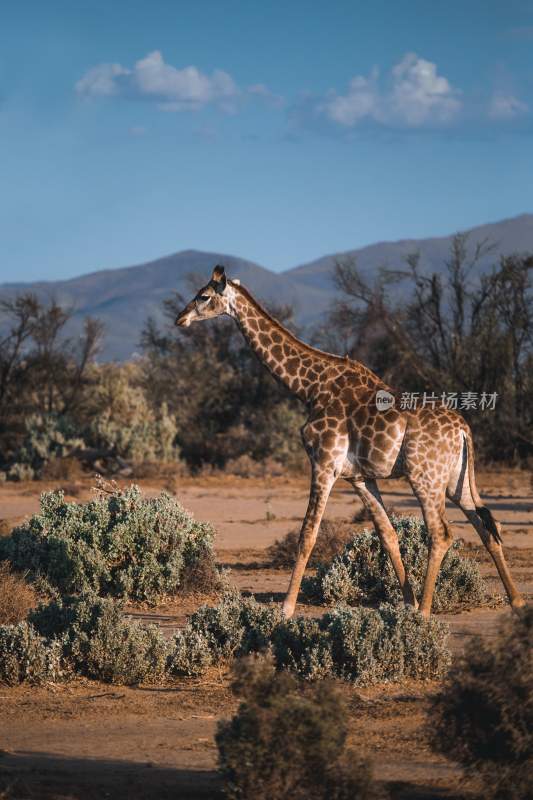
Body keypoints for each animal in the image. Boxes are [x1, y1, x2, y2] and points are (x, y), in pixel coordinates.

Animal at [175, 266, 524, 616]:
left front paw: (286, 608)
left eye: (203, 296)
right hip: (455, 480)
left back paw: (426, 614)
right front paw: (405, 603)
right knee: (487, 526)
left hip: (425, 477)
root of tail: (463, 430)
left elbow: (308, 533)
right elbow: (388, 535)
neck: (309, 388)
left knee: (441, 533)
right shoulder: (360, 477)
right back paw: (516, 601)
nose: (180, 318)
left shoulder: (324, 463)